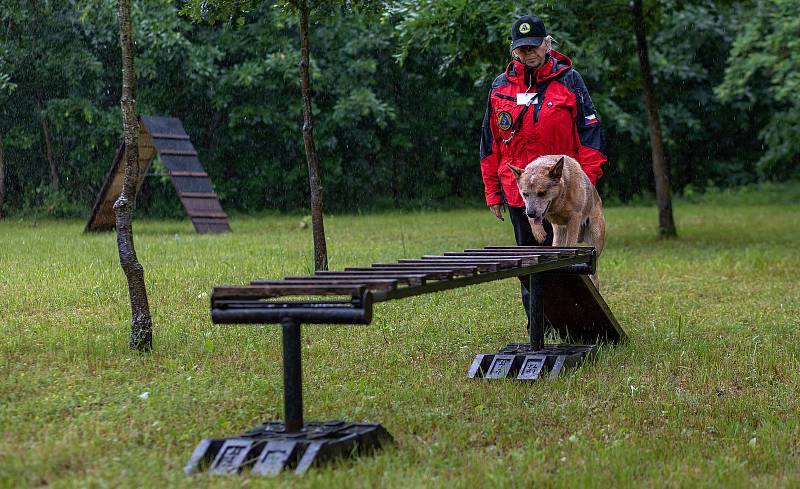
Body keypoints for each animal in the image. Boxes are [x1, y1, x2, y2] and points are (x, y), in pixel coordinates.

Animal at [506, 154, 608, 288]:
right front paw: (539, 234)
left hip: (595, 238)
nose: (531, 213)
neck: (559, 202)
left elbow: (570, 243)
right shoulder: (529, 207)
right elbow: (533, 219)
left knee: (594, 273)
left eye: (542, 193)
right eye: (525, 194)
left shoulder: (575, 217)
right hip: (558, 236)